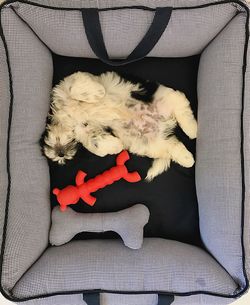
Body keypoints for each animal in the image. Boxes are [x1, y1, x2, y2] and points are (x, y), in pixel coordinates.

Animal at [41, 71, 197, 180]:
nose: (60, 154)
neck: (65, 120)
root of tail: (163, 122)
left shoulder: (69, 83)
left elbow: (74, 88)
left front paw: (98, 92)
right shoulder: (83, 129)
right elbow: (94, 141)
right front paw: (116, 145)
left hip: (165, 97)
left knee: (182, 107)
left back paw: (192, 129)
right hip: (148, 143)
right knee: (173, 146)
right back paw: (187, 158)